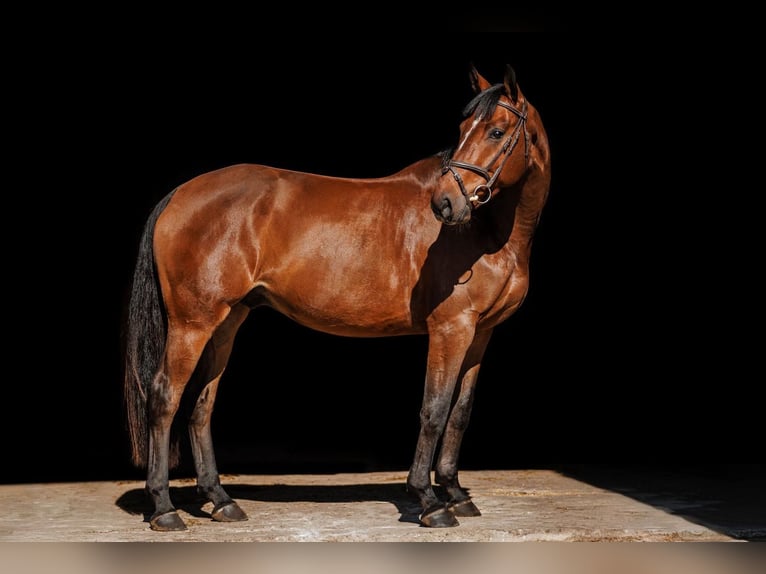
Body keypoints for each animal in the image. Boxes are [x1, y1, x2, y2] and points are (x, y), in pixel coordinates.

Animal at [123, 63, 551, 531]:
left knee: (202, 404)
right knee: (165, 397)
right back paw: (164, 508)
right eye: (462, 129)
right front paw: (429, 501)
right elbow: (434, 410)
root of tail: (180, 194)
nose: (445, 204)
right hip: (192, 324)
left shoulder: (479, 333)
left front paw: (455, 494)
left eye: (496, 131)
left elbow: (459, 413)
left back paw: (221, 500)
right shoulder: (450, 329)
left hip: (226, 322)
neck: (489, 232)